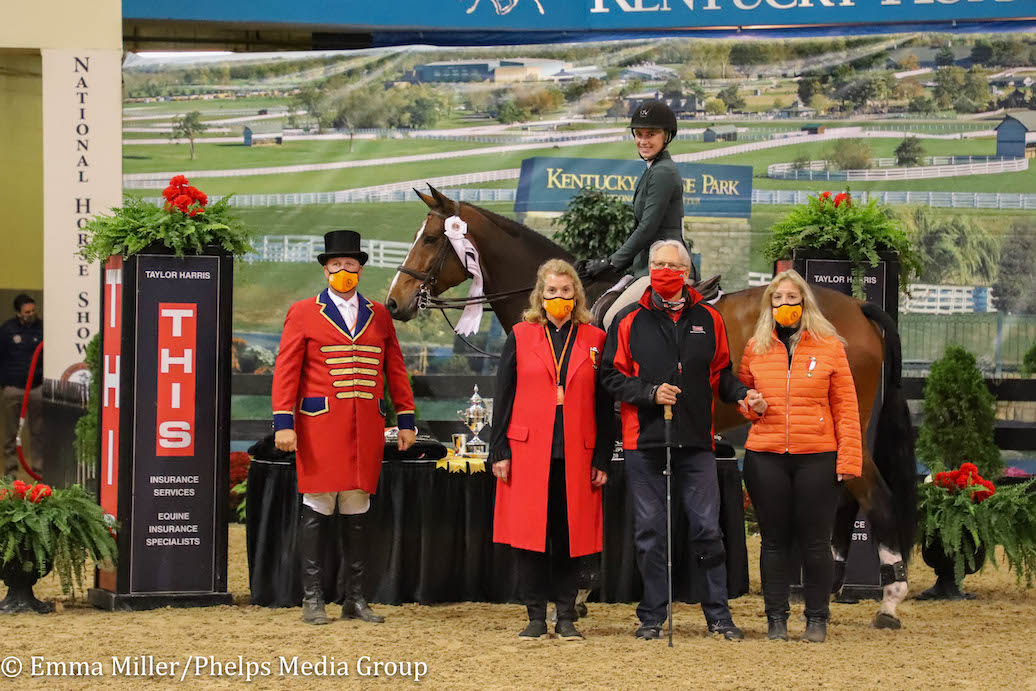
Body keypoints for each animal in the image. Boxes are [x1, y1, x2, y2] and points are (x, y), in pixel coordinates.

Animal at [387, 186, 915, 629]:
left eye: (431, 238)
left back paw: (889, 603)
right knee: (847, 500)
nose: (394, 303)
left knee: (878, 499)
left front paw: (578, 593)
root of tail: (855, 307)